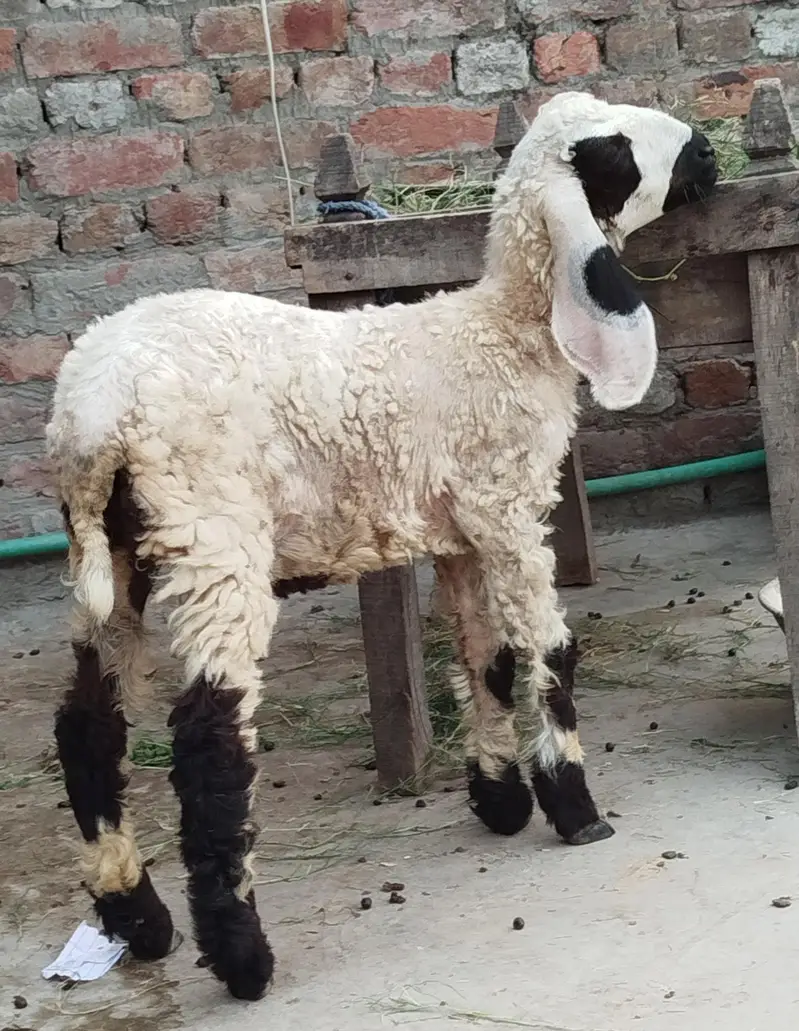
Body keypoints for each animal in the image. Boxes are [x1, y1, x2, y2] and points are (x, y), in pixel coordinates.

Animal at [47, 91, 717, 1001]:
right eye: (612, 151)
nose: (708, 153)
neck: (502, 332)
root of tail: (91, 416)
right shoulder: (508, 509)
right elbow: (549, 651)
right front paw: (573, 807)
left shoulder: (462, 529)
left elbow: (486, 659)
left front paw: (500, 798)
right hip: (212, 534)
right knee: (206, 743)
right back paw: (242, 954)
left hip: (114, 560)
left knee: (87, 725)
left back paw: (137, 915)